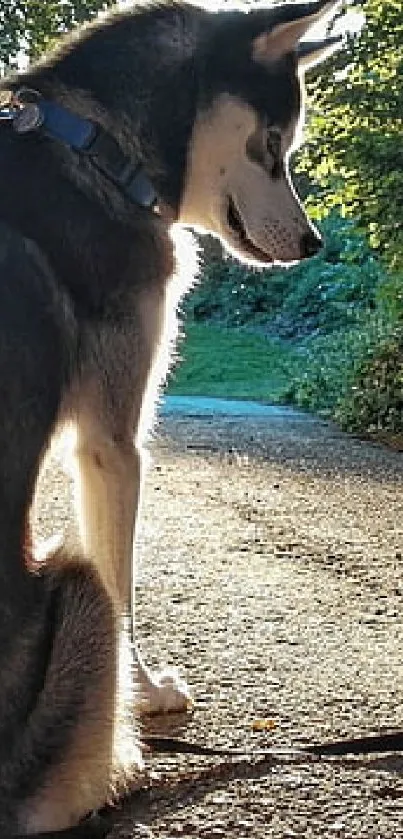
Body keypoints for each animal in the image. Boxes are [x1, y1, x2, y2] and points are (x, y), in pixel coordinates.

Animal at [0, 0, 344, 832]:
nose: (313, 242)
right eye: (272, 146)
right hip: (74, 587)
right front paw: (145, 693)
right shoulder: (112, 443)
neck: (91, 144)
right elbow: (127, 586)